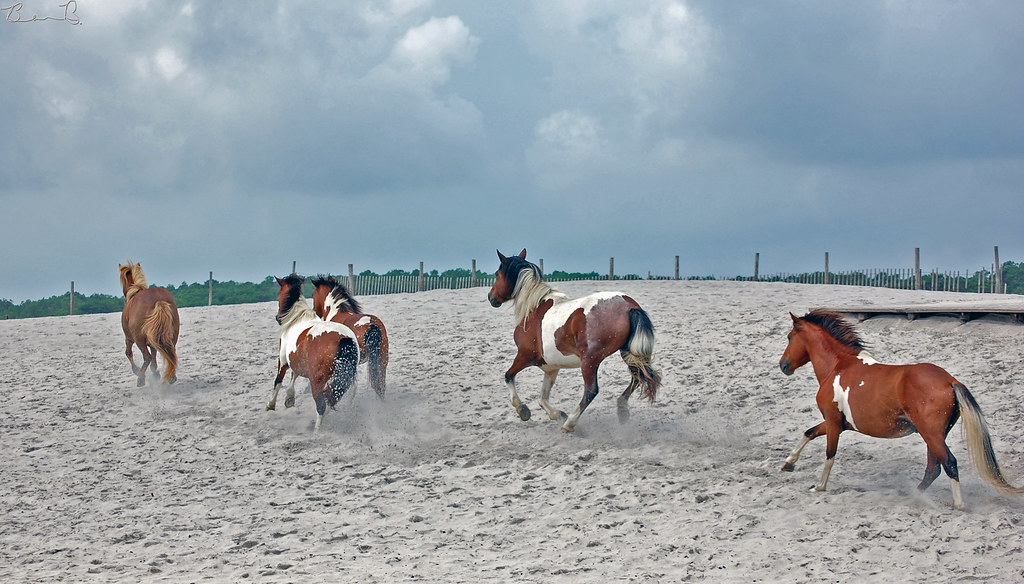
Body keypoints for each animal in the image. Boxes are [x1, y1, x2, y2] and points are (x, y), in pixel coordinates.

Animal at [268, 274, 360, 433]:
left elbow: (278, 382)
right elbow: (294, 374)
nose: (277, 318)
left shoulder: (283, 360)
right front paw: (289, 399)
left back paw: (316, 432)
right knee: (332, 402)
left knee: (322, 406)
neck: (297, 318)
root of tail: (344, 339)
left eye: (279, 294)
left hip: (317, 382)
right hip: (344, 381)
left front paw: (271, 405)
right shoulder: (297, 360)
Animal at [487, 249, 662, 433]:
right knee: (637, 377)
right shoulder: (551, 367)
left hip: (589, 361)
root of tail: (630, 307)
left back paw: (570, 423)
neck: (534, 308)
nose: (491, 297)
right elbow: (542, 398)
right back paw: (621, 410)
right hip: (628, 353)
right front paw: (556, 414)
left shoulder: (525, 355)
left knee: (591, 390)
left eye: (497, 274)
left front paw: (523, 410)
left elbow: (508, 376)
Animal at [779, 309, 1024, 510]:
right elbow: (809, 433)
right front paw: (788, 463)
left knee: (948, 463)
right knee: (933, 467)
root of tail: (950, 381)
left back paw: (958, 504)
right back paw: (914, 496)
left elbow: (829, 454)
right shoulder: (839, 423)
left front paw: (819, 487)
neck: (838, 366)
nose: (783, 366)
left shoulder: (832, 422)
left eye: (790, 337)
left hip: (931, 434)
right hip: (934, 435)